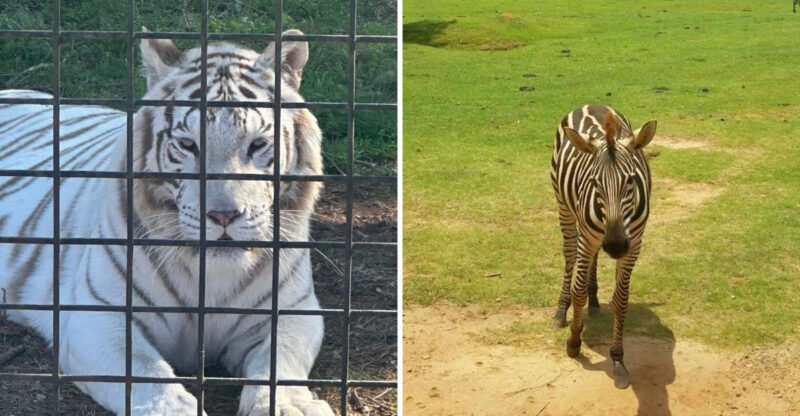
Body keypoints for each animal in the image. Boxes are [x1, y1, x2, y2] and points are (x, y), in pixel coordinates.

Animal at [549, 104, 657, 389]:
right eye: (595, 182)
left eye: (630, 181)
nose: (616, 244)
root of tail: (590, 104)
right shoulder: (588, 237)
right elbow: (577, 291)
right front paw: (574, 342)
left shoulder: (634, 244)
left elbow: (621, 300)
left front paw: (618, 359)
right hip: (565, 209)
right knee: (569, 256)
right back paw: (561, 311)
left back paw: (595, 300)